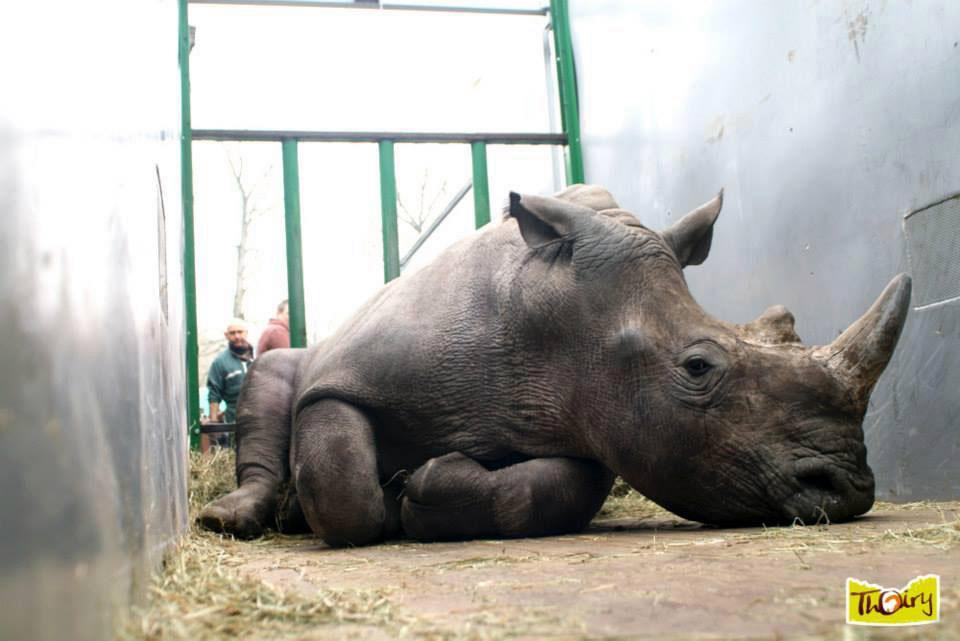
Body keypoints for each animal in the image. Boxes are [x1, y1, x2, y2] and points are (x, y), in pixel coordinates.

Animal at [199, 184, 911, 547]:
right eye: (698, 367)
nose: (849, 492)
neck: (554, 317)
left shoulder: (596, 414)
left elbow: (559, 488)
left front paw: (420, 494)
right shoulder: (345, 378)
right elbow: (342, 483)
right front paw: (370, 505)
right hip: (298, 354)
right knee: (274, 378)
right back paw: (232, 519)